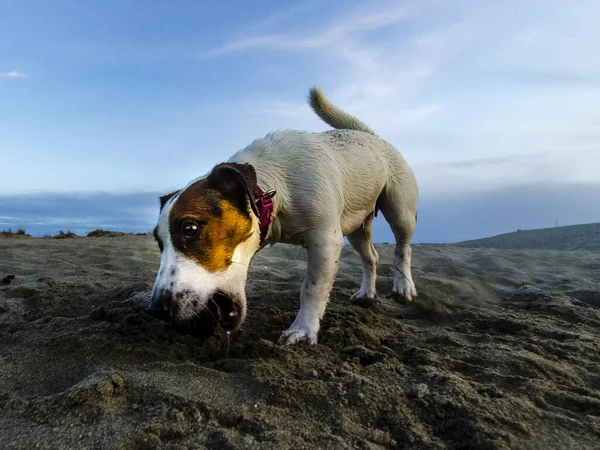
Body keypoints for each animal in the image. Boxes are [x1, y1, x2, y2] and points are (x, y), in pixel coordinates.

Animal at [148, 89, 420, 348]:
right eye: (159, 243)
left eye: (190, 228)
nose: (156, 310)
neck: (272, 191)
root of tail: (372, 136)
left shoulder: (326, 242)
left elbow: (311, 288)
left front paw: (303, 330)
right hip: (356, 226)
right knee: (371, 257)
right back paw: (366, 293)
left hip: (400, 211)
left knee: (403, 249)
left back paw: (404, 286)